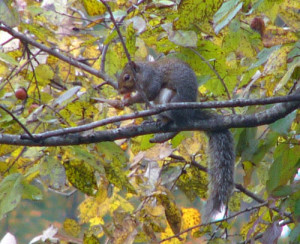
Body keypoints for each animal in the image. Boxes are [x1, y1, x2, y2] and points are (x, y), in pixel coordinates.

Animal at [118, 58, 236, 218]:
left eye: (127, 77)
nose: (120, 91)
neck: (142, 75)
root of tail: (188, 114)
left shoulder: (152, 79)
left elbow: (150, 93)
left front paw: (128, 100)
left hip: (169, 99)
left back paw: (165, 120)